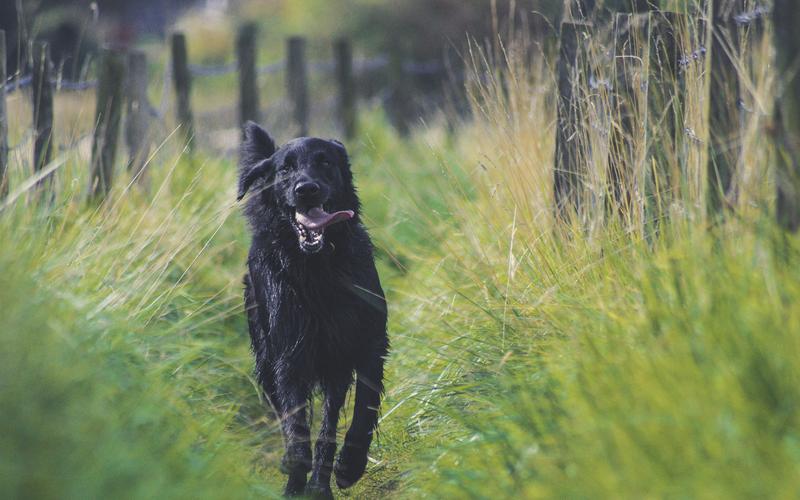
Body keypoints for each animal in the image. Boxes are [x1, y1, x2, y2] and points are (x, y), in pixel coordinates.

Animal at [236, 122, 390, 500]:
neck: (317, 267)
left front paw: (350, 466)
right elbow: (296, 427)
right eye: (285, 170)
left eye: (325, 162)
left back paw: (321, 484)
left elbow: (361, 410)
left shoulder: (367, 345)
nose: (306, 189)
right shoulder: (289, 356)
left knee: (329, 424)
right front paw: (294, 470)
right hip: (266, 358)